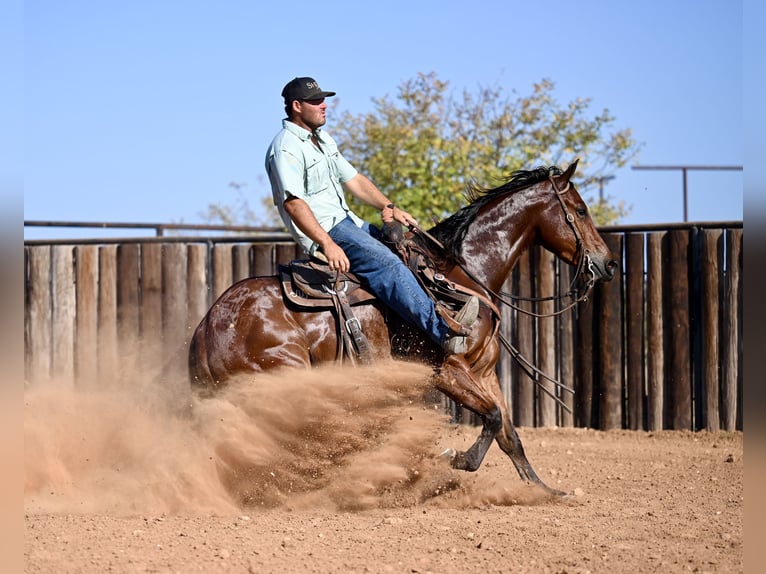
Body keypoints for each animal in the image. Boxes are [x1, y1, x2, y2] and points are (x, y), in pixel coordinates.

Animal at [190, 160, 616, 498]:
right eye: (580, 210)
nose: (609, 263)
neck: (461, 278)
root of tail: (206, 329)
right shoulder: (447, 371)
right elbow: (493, 417)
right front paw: (455, 459)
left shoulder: (485, 372)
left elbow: (510, 435)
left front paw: (545, 491)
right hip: (285, 377)